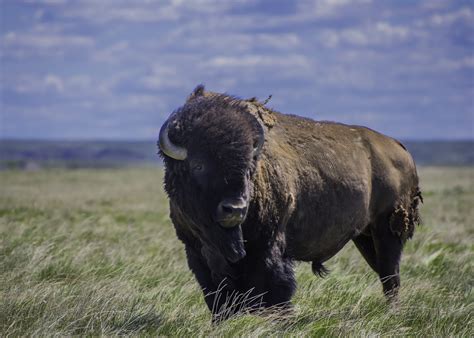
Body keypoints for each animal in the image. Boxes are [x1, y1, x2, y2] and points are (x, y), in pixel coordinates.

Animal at [159, 85, 422, 320]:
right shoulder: (196, 251)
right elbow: (217, 297)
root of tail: (399, 148)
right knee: (384, 273)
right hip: (365, 236)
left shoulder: (268, 248)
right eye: (198, 165)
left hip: (387, 230)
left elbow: (275, 291)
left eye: (250, 168)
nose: (235, 209)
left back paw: (393, 313)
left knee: (390, 275)